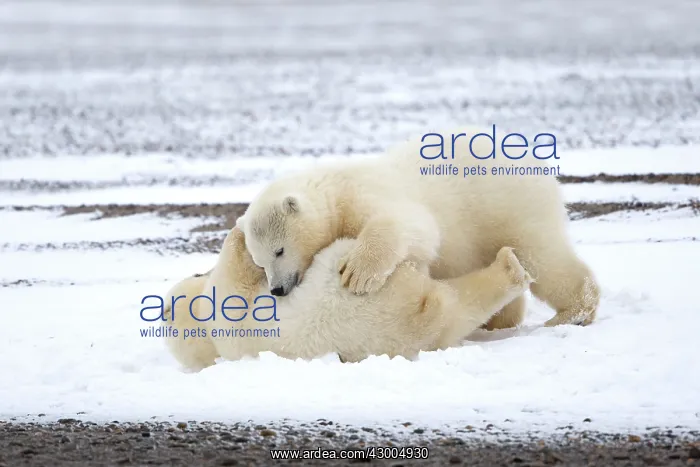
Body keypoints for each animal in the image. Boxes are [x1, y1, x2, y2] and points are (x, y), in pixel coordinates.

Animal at [163, 225, 533, 371]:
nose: (198, 271)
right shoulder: (229, 321)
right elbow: (233, 286)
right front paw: (238, 236)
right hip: (357, 287)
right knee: (453, 300)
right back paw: (510, 267)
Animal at [239, 126, 600, 328]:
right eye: (259, 261)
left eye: (279, 250)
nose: (277, 289)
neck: (334, 191)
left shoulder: (365, 195)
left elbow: (412, 225)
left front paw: (358, 273)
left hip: (511, 205)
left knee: (543, 257)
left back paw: (574, 312)